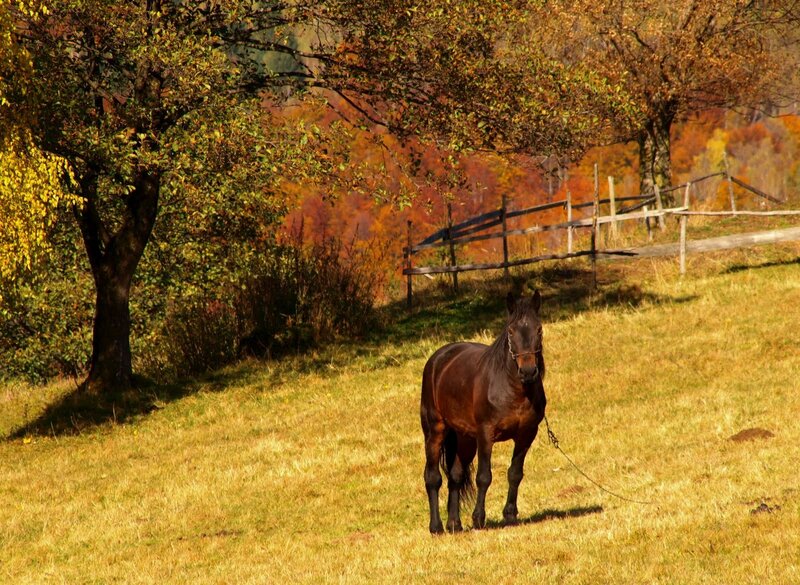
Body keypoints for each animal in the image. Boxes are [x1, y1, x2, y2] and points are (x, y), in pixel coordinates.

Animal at [420, 291, 547, 533]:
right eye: (511, 331)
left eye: (539, 329)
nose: (528, 371)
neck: (512, 389)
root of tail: (438, 358)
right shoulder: (486, 434)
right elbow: (484, 476)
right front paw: (479, 518)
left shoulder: (526, 435)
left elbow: (515, 473)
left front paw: (510, 515)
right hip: (435, 431)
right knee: (433, 477)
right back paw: (436, 527)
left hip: (465, 438)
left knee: (456, 476)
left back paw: (454, 524)